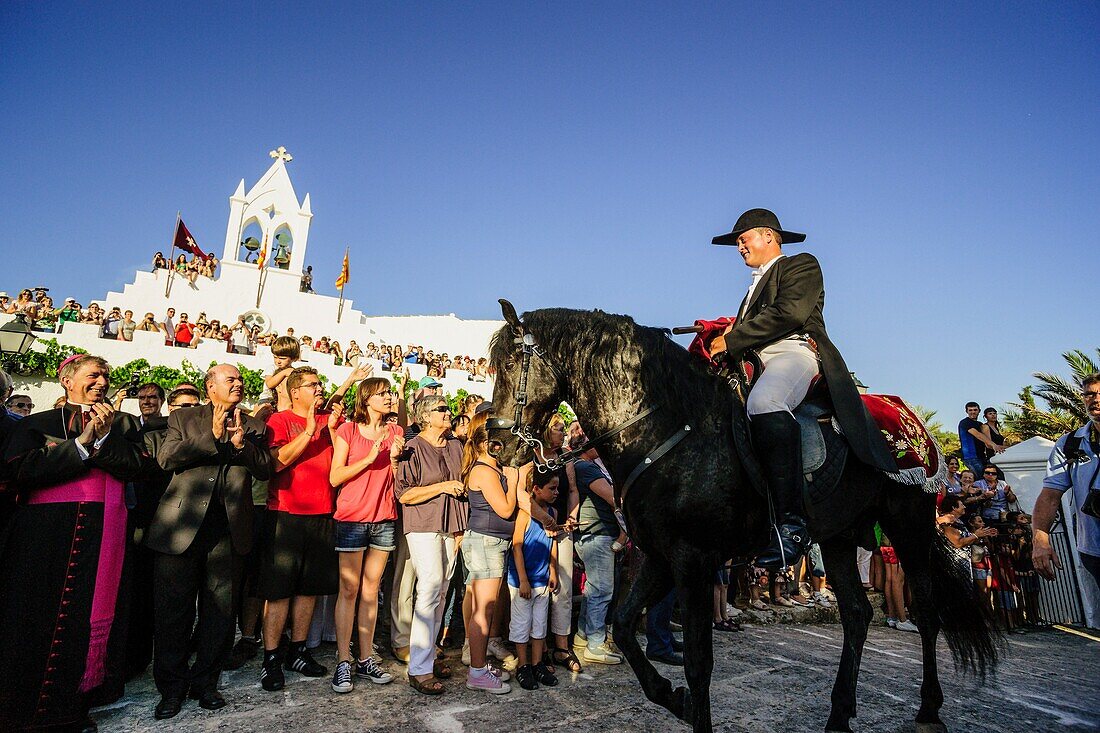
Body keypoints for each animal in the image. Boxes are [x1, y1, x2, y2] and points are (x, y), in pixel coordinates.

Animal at [490, 299, 998, 726]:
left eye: (511, 364)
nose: (497, 446)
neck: (668, 426)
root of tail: (911, 422)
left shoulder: (691, 559)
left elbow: (698, 661)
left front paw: (688, 704)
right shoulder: (662, 556)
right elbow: (624, 624)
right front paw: (672, 697)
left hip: (907, 525)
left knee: (927, 611)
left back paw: (928, 708)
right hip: (838, 536)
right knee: (856, 613)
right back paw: (839, 714)